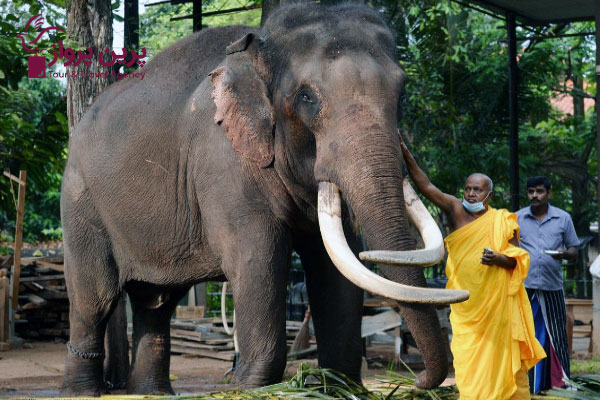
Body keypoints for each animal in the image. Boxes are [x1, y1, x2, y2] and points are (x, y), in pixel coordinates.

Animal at [62, 2, 468, 396]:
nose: (418, 380)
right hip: (81, 203)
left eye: (402, 92)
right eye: (306, 97)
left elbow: (334, 263)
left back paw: (153, 392)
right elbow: (260, 255)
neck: (260, 45)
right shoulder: (222, 160)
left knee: (156, 301)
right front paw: (251, 387)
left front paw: (336, 385)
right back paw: (81, 392)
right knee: (94, 299)